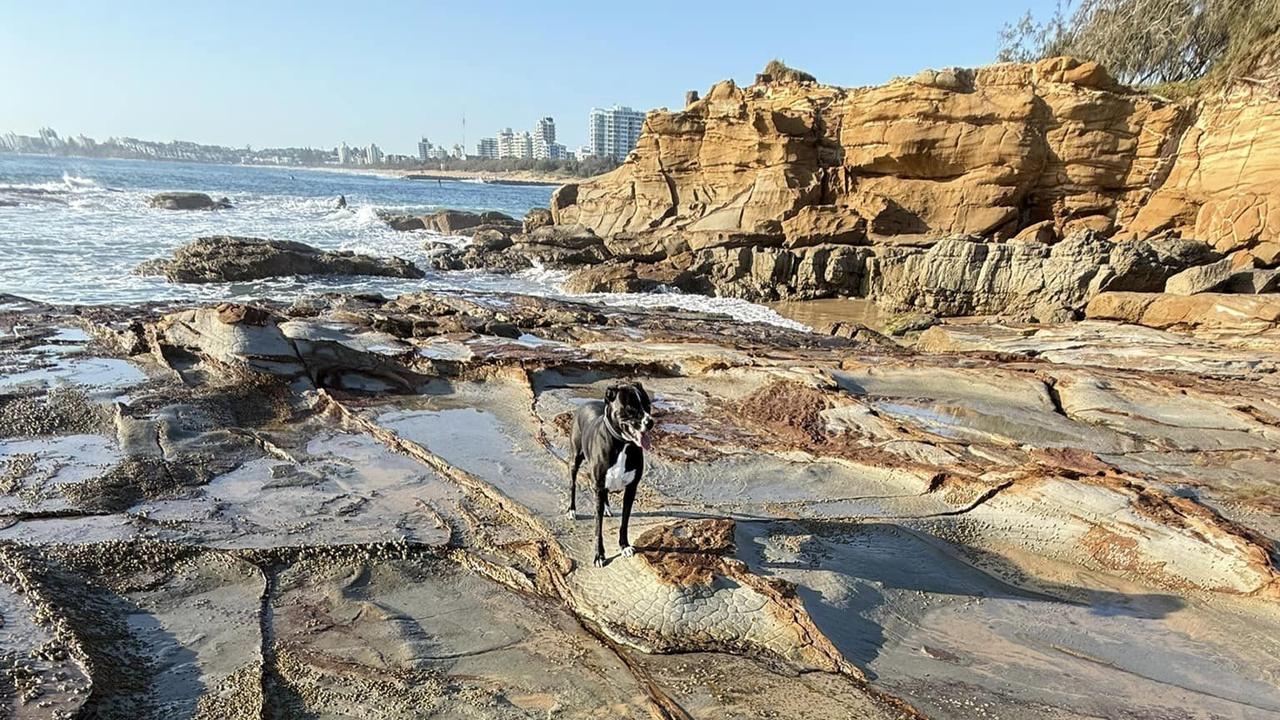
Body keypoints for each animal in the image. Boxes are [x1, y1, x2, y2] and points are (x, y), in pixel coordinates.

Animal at [568, 381, 650, 566]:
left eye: (648, 405)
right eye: (631, 409)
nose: (650, 422)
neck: (623, 444)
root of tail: (585, 403)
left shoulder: (631, 489)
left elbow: (624, 522)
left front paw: (624, 546)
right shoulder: (597, 486)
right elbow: (598, 528)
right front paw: (599, 555)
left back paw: (606, 507)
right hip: (574, 460)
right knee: (572, 484)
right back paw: (571, 509)